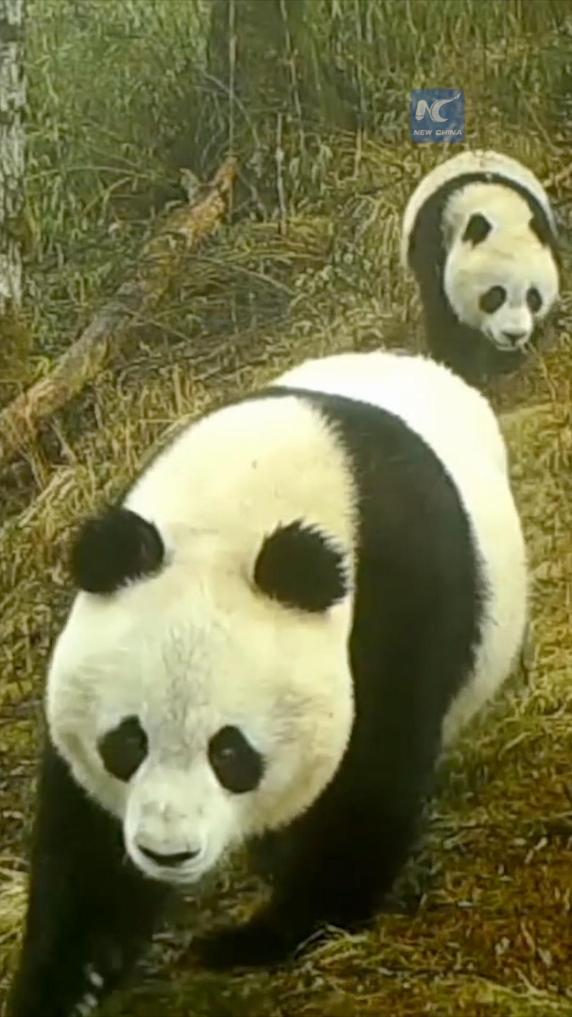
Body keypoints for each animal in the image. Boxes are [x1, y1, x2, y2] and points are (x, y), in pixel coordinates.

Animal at [7, 350, 528, 1017]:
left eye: (230, 752)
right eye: (126, 743)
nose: (167, 853)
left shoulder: (399, 600)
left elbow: (371, 777)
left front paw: (257, 938)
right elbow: (88, 851)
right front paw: (64, 984)